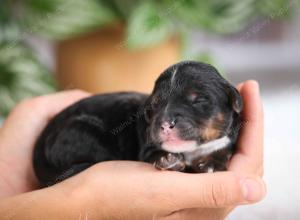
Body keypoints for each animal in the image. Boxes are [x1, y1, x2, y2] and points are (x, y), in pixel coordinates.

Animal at [34, 61, 243, 186]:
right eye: (154, 105)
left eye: (198, 100)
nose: (165, 123)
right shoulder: (145, 144)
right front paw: (168, 159)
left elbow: (222, 148)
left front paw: (212, 163)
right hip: (82, 131)